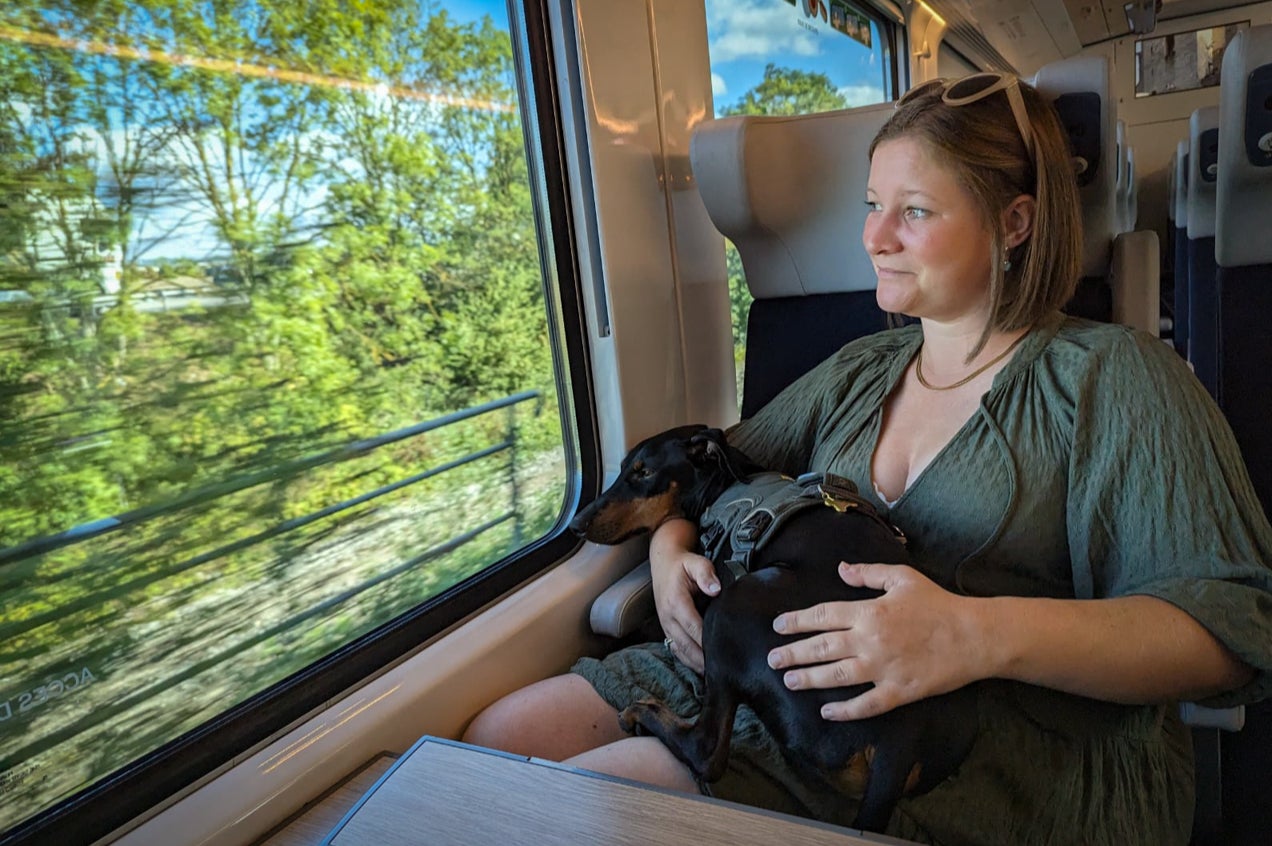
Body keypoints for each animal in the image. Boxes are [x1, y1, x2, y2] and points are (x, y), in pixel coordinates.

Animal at [572, 422, 976, 829]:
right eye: (624, 468)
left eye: (644, 473)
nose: (577, 524)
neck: (727, 485)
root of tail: (899, 743)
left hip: (736, 603)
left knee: (706, 750)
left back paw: (643, 713)